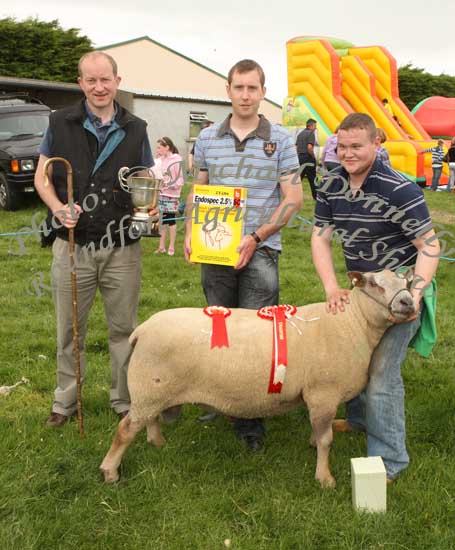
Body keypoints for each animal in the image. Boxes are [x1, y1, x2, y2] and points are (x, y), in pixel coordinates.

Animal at [100, 270, 416, 490]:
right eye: (374, 284)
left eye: (407, 282)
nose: (408, 302)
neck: (352, 322)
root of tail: (141, 330)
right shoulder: (323, 393)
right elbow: (327, 440)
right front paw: (324, 478)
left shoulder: (318, 399)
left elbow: (319, 433)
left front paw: (313, 446)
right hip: (149, 386)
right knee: (125, 430)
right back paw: (110, 471)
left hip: (153, 388)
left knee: (149, 420)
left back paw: (157, 442)